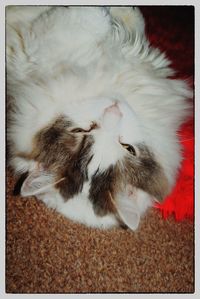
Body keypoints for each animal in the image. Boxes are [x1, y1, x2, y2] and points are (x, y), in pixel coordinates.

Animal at [5, 6, 191, 232]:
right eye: (82, 130)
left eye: (128, 147)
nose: (115, 109)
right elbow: (96, 20)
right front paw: (110, 14)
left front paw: (117, 15)